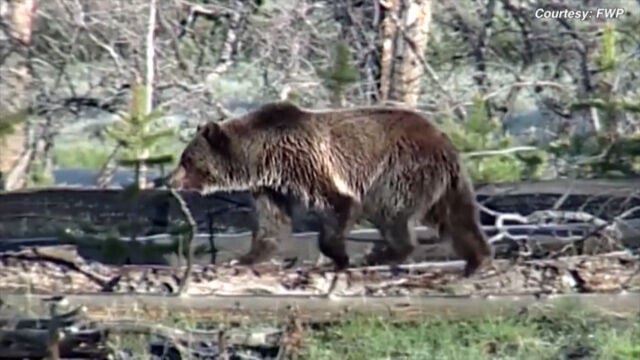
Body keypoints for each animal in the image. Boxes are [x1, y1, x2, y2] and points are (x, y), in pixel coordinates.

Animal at [168, 101, 492, 276]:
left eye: (186, 159)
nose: (170, 180)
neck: (261, 157)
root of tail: (442, 139)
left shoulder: (304, 162)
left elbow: (337, 204)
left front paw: (339, 257)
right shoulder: (272, 187)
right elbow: (272, 223)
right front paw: (244, 257)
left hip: (398, 169)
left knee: (390, 210)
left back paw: (378, 255)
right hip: (446, 183)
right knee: (458, 217)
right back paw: (476, 259)